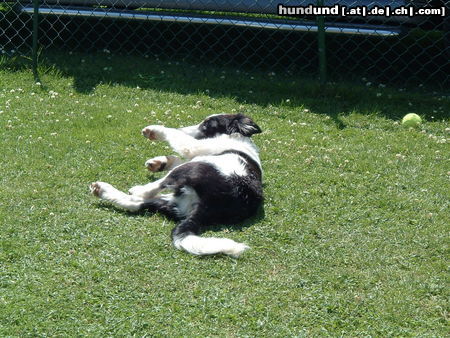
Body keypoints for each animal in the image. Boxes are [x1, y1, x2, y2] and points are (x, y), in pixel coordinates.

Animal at [89, 115, 262, 258]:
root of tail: (209, 208)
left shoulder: (195, 148)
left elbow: (176, 138)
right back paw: (102, 190)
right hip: (174, 203)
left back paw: (136, 189)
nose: (183, 128)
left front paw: (154, 131)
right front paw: (159, 162)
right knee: (135, 203)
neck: (238, 139)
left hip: (194, 168)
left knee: (151, 190)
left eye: (207, 124)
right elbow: (176, 159)